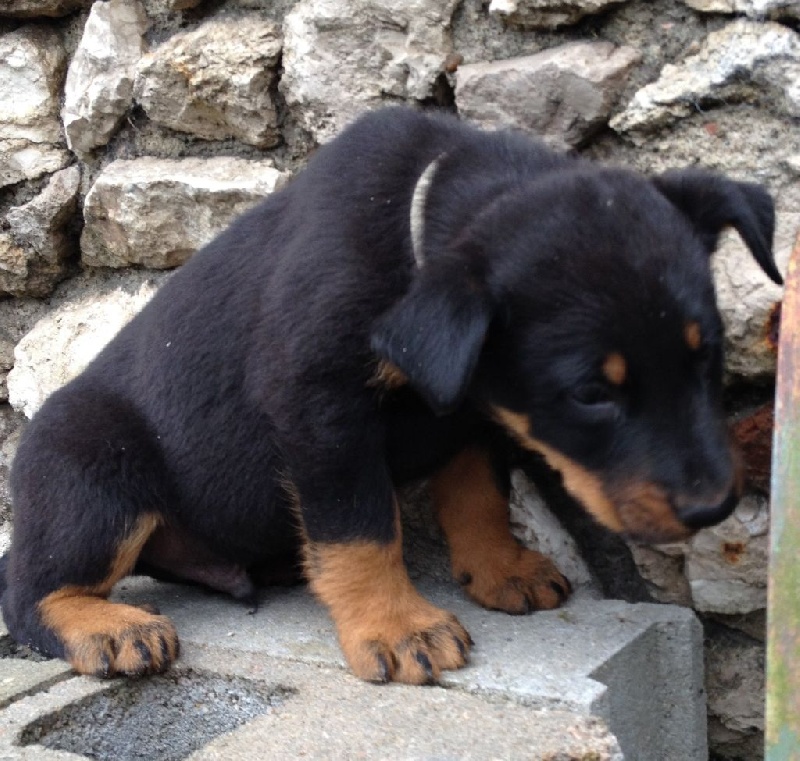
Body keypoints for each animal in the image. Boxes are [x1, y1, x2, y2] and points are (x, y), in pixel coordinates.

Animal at [0, 107, 782, 684]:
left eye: (707, 353)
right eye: (591, 393)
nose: (714, 507)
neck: (407, 234)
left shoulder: (468, 407)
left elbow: (477, 493)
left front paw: (500, 568)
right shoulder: (319, 405)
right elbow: (361, 525)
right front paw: (400, 628)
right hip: (93, 476)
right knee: (29, 589)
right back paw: (111, 628)